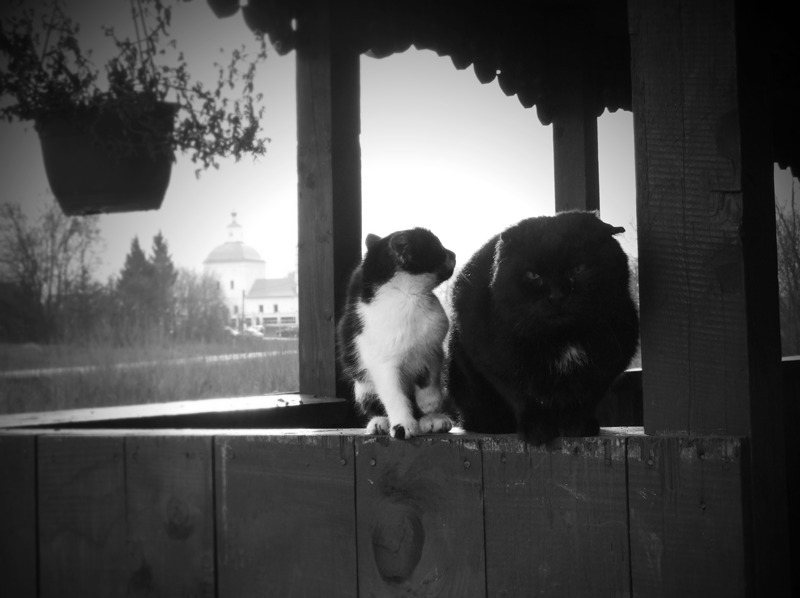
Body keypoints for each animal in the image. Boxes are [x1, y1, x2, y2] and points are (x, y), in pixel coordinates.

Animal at [334, 227, 456, 438]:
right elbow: (394, 396)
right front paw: (402, 425)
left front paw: (429, 402)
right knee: (373, 401)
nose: (454, 254)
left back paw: (433, 420)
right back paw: (380, 423)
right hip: (362, 385)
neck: (409, 297)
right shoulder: (382, 364)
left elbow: (429, 377)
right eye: (438, 248)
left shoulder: (432, 348)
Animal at [446, 211, 640, 446]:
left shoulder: (611, 361)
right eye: (532, 275)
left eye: (578, 269)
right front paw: (537, 430)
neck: (563, 338)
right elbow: (524, 398)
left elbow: (586, 397)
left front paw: (578, 425)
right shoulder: (497, 365)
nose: (556, 296)